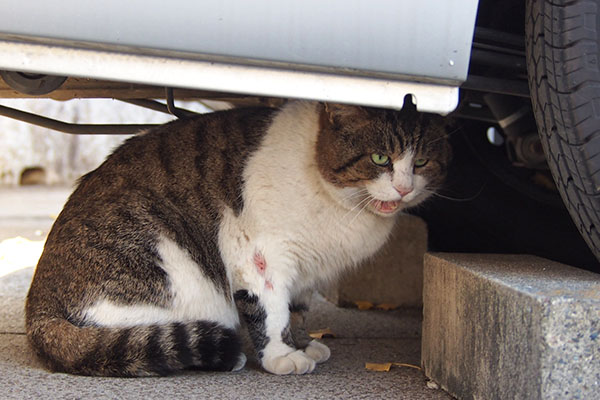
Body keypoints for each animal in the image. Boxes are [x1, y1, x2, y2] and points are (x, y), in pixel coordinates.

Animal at [24, 100, 450, 376]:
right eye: (380, 159)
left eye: (421, 162)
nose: (404, 188)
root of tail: (39, 308)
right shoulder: (260, 253)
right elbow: (272, 310)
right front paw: (282, 355)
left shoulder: (303, 272)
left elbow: (296, 309)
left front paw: (300, 342)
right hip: (164, 261)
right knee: (127, 337)